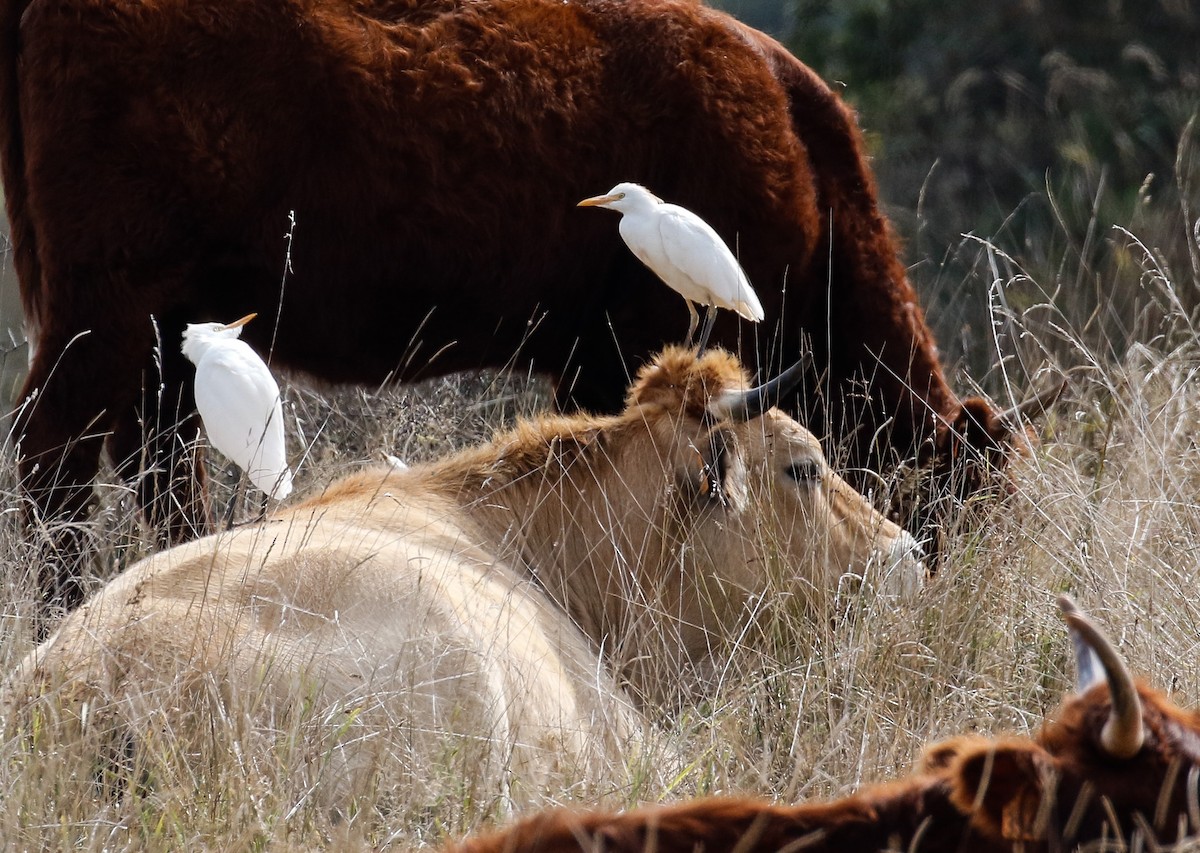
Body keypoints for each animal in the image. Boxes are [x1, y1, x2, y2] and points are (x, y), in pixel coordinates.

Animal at [2, 0, 1012, 607]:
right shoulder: (627, 346)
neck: (801, 160)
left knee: (158, 470)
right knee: (52, 455)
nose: (925, 583)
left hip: (166, 338)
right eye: (965, 493)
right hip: (105, 316)